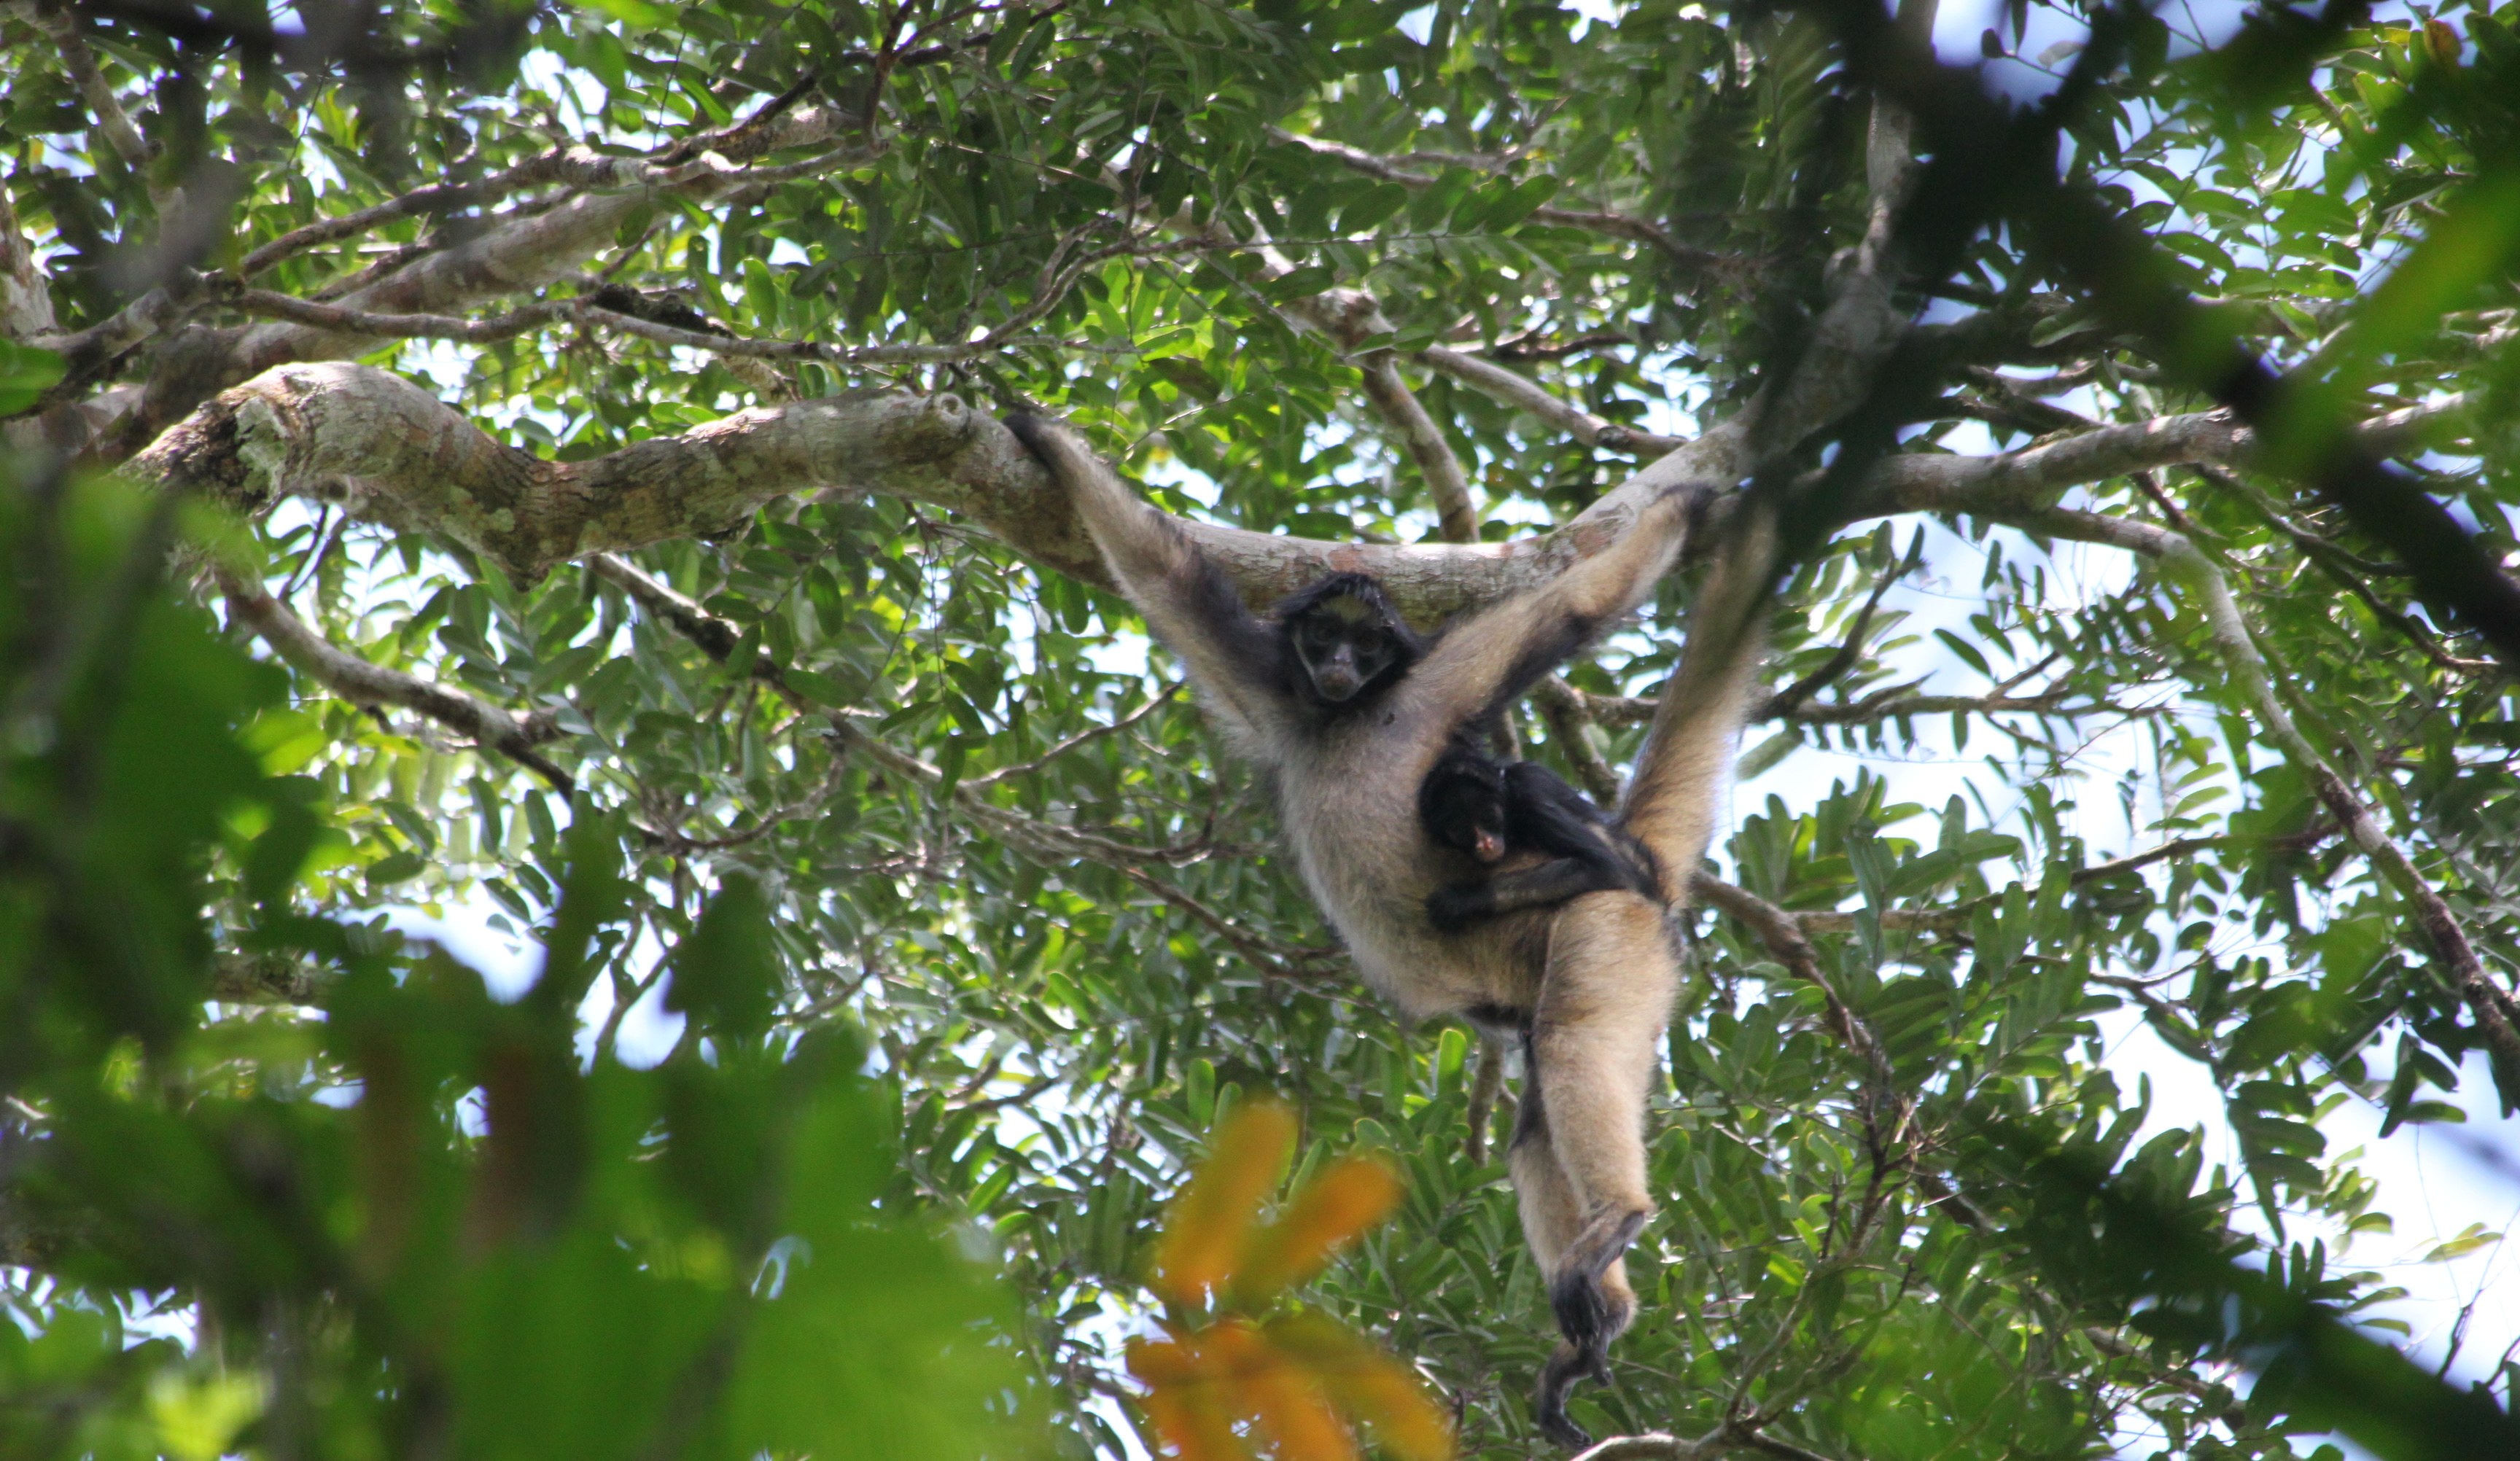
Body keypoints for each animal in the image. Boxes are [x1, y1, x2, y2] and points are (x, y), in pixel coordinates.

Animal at [1418, 734, 1661, 932]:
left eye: (1488, 817)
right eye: (1460, 830)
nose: (1485, 843)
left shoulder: (1530, 798)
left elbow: (1608, 868)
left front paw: (1466, 897)